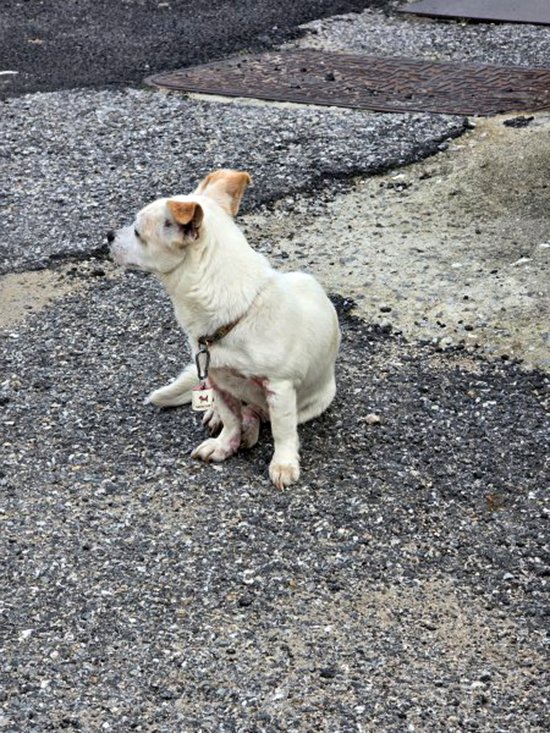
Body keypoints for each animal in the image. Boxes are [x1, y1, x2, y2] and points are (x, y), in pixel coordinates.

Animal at [108, 167, 340, 486]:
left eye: (137, 232)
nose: (108, 236)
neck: (233, 314)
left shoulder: (279, 388)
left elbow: (282, 432)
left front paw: (283, 464)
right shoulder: (216, 377)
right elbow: (230, 418)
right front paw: (223, 444)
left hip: (311, 401)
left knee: (258, 413)